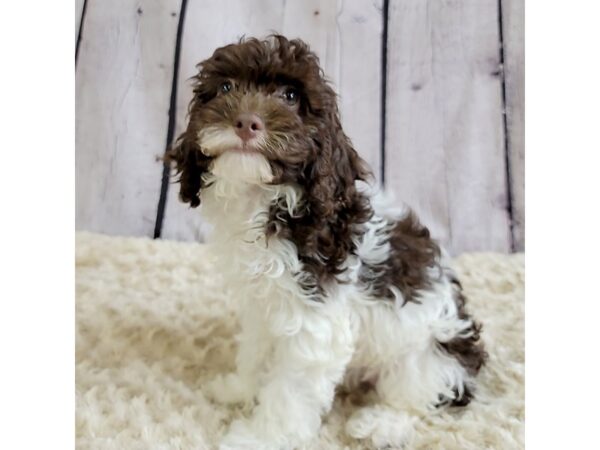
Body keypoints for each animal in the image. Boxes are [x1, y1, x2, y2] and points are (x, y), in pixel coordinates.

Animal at [166, 36, 486, 450]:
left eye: (290, 96)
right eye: (225, 87)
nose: (246, 122)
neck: (266, 201)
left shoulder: (313, 323)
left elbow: (288, 392)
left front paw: (259, 438)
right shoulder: (263, 306)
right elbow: (256, 352)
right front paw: (238, 389)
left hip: (427, 355)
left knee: (423, 399)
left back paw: (380, 424)